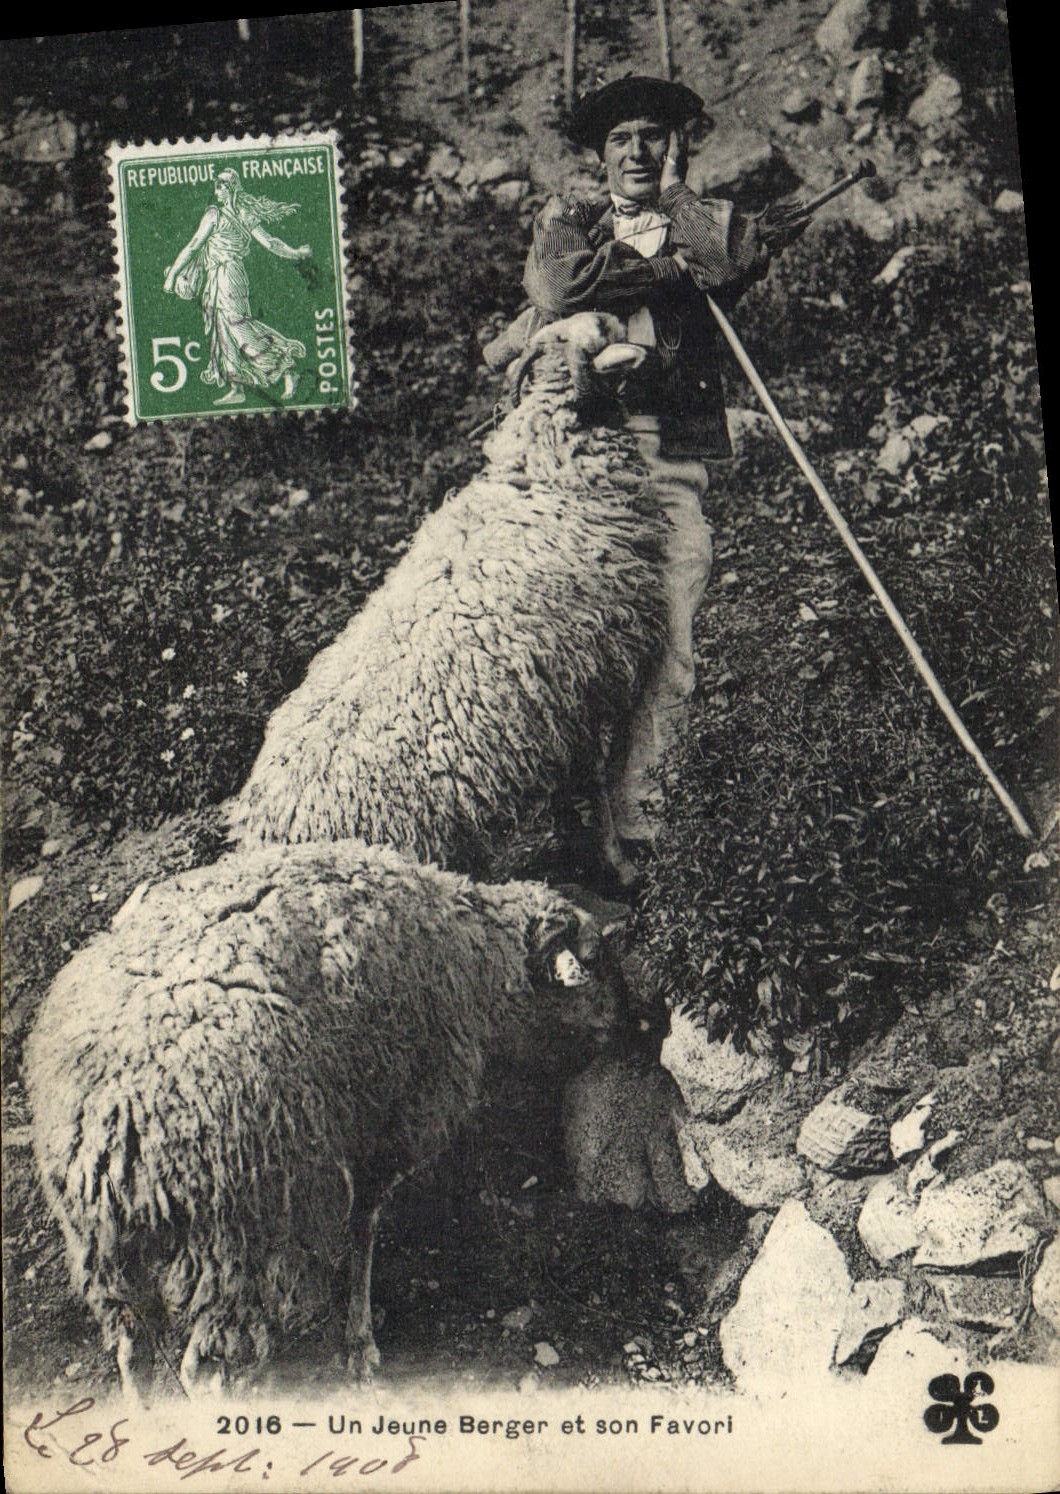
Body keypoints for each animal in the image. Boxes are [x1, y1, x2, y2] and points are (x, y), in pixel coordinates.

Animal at [24, 838, 630, 1401]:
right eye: (595, 963)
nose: (632, 1022)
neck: (472, 952)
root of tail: (108, 1130)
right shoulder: (395, 1114)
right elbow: (365, 1223)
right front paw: (360, 1341)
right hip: (228, 1240)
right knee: (204, 1371)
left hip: (104, 1254)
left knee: (133, 1354)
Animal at [229, 312, 670, 883]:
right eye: (574, 336)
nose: (606, 316)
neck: (548, 470)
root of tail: (265, 834)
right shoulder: (583, 685)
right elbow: (594, 786)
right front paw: (620, 866)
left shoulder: (553, 709)